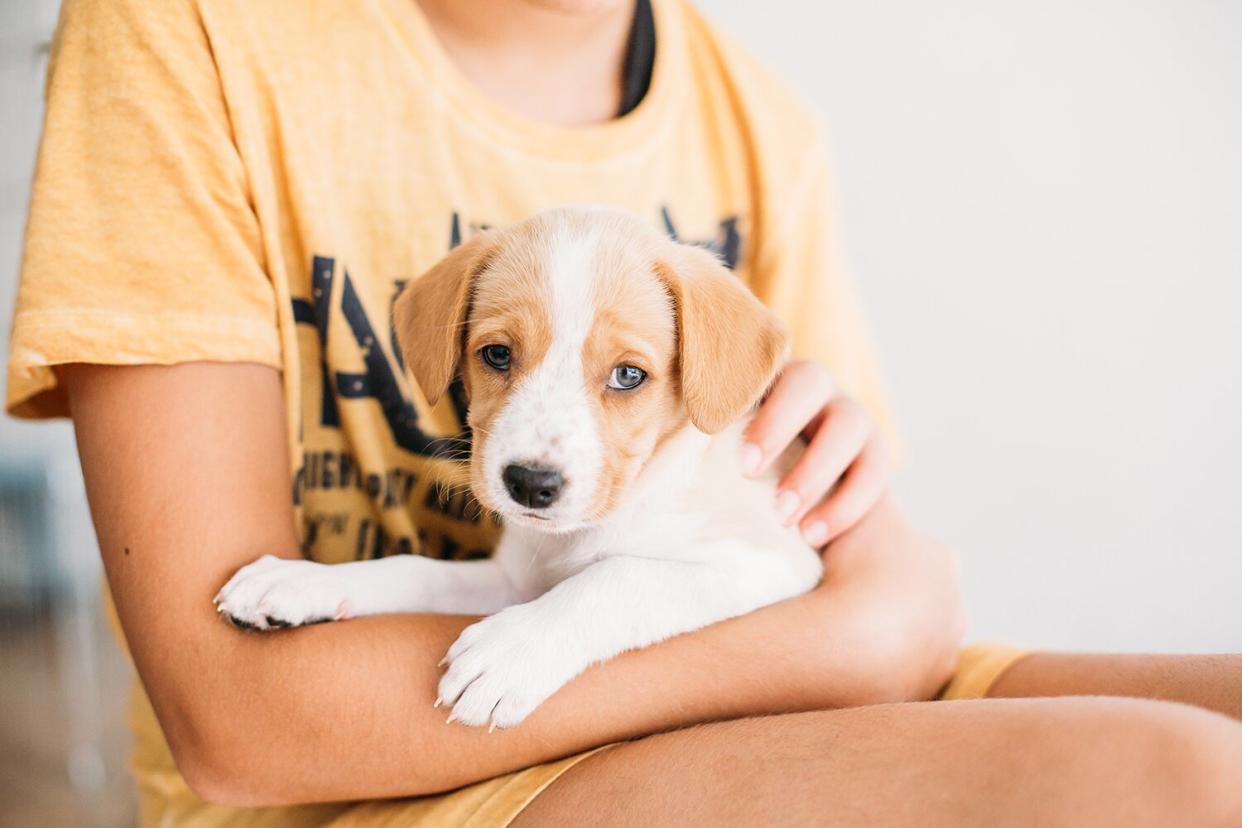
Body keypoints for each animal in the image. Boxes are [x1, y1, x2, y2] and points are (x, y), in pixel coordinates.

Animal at [221, 208, 824, 729]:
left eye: (629, 375)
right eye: (497, 354)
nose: (531, 484)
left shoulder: (769, 561)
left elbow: (622, 575)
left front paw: (513, 651)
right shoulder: (514, 580)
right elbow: (418, 569)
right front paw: (305, 579)